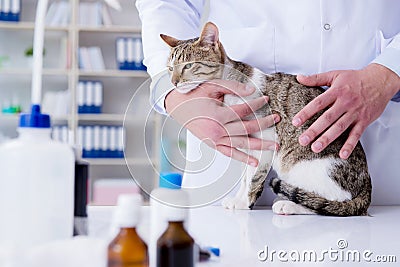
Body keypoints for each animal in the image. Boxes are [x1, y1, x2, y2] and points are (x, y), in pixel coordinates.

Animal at [160, 22, 372, 217]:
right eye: (170, 68)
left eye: (188, 66)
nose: (173, 82)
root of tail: (367, 184)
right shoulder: (248, 146)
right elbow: (245, 177)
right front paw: (238, 199)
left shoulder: (265, 140)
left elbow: (253, 179)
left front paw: (245, 203)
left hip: (307, 165)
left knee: (330, 202)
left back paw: (289, 205)